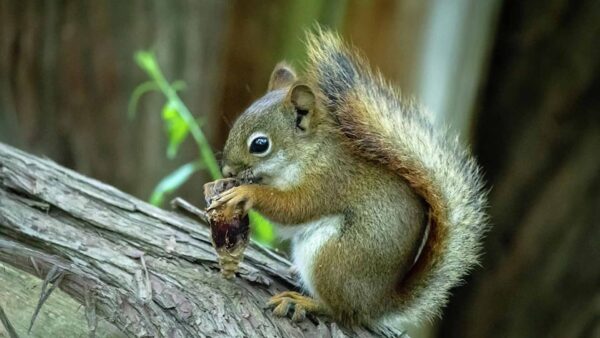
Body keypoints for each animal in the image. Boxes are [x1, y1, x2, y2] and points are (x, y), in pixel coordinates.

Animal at [209, 29, 490, 328]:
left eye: (260, 144)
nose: (227, 172)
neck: (310, 153)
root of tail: (378, 303)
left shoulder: (329, 180)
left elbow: (293, 208)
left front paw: (246, 193)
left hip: (332, 258)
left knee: (341, 311)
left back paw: (304, 302)